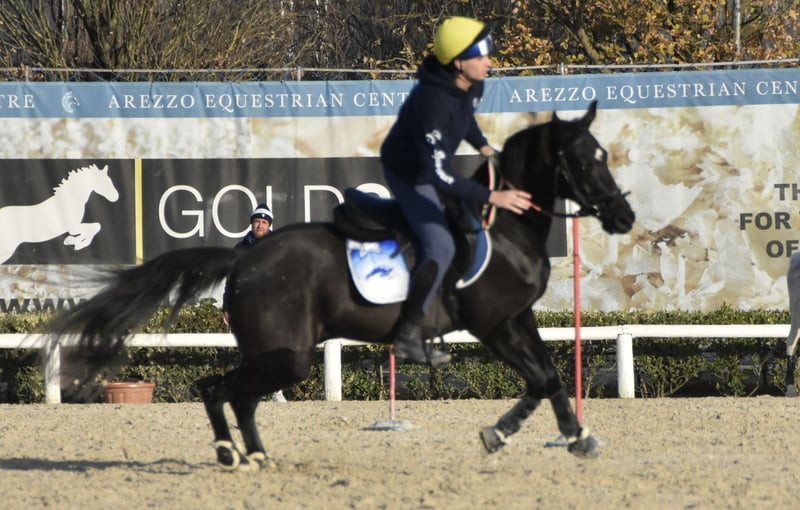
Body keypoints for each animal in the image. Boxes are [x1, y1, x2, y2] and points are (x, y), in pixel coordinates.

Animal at [48, 101, 635, 470]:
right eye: (584, 160)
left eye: (604, 156)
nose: (624, 216)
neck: (504, 226)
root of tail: (247, 256)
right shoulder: (493, 324)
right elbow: (538, 378)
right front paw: (506, 434)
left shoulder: (518, 318)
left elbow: (550, 377)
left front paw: (571, 437)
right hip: (288, 356)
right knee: (216, 389)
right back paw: (229, 454)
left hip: (279, 353)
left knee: (238, 397)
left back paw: (256, 455)